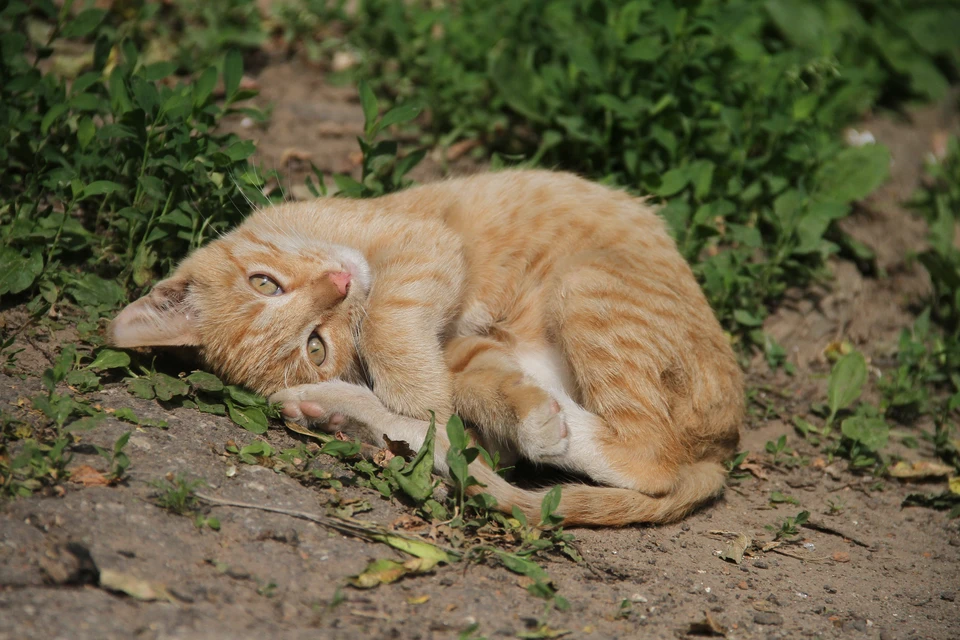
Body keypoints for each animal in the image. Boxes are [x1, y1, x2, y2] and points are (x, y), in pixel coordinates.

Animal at [109, 169, 748, 524]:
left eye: (263, 282)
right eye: (316, 347)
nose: (339, 285)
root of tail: (722, 449)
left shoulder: (422, 242)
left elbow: (388, 319)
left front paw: (413, 388)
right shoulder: (461, 349)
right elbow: (445, 404)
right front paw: (412, 397)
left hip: (585, 283)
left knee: (650, 455)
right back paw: (338, 409)